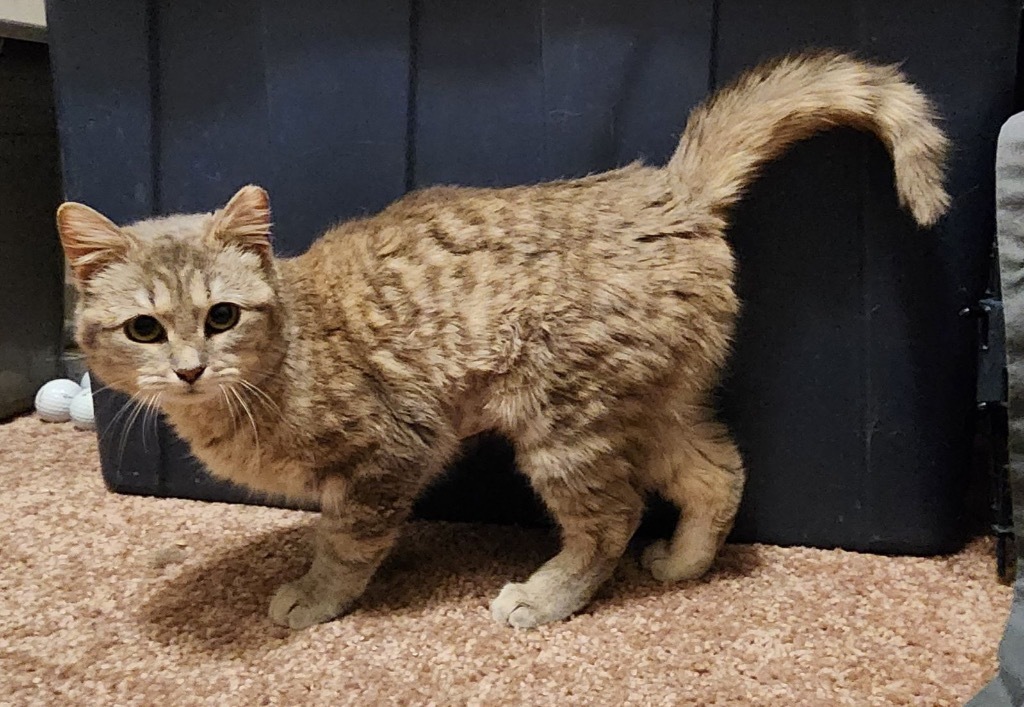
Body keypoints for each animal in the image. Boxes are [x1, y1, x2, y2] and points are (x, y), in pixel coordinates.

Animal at [58, 53, 950, 627]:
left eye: (221, 316)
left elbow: (346, 545)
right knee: (717, 471)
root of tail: (669, 191)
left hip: (565, 423)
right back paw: (683, 564)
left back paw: (547, 594)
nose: (189, 369)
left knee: (613, 516)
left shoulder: (390, 455)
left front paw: (314, 597)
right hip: (649, 406)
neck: (287, 357)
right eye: (145, 328)